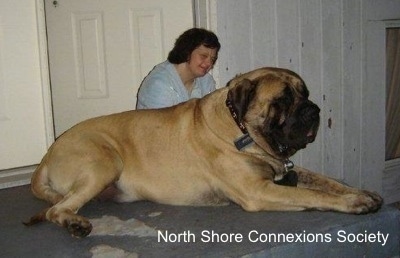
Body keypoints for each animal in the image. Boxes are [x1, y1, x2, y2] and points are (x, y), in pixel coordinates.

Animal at [25, 67, 382, 237]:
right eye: (282, 100)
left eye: (305, 93)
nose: (314, 110)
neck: (241, 131)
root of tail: (47, 154)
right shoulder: (258, 190)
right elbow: (312, 195)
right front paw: (355, 202)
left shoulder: (286, 171)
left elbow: (327, 182)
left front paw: (362, 192)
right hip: (105, 160)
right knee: (56, 210)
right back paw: (75, 223)